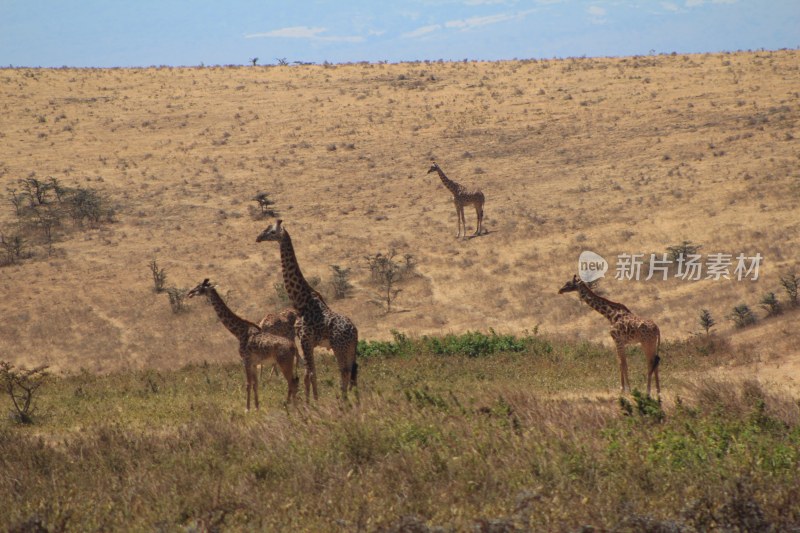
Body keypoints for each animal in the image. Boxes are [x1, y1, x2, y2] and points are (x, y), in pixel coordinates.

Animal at [188, 276, 300, 410]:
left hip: (284, 362)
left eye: (200, 287)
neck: (239, 332)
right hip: (287, 362)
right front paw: (257, 407)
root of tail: (293, 347)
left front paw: (247, 408)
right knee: (294, 382)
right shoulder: (254, 363)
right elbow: (255, 384)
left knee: (292, 382)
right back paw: (293, 405)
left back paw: (291, 406)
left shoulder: (246, 360)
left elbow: (248, 384)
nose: (190, 293)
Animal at [256, 218, 360, 402]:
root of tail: (355, 331)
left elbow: (310, 374)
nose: (258, 237)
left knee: (345, 373)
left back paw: (344, 402)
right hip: (350, 349)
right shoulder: (307, 342)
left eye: (272, 232)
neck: (301, 301)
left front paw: (312, 403)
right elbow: (309, 373)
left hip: (340, 348)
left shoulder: (305, 339)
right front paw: (311, 400)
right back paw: (355, 402)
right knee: (354, 372)